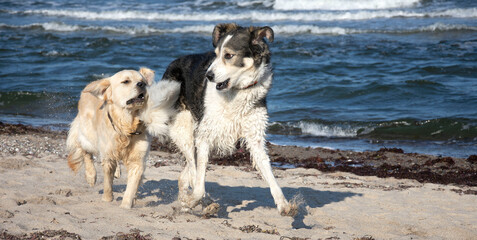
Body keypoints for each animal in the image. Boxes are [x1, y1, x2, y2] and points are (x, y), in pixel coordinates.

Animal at [65, 67, 178, 208]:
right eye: (126, 81)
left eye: (142, 81)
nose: (142, 85)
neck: (127, 126)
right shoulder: (108, 156)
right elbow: (108, 182)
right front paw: (107, 199)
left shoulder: (137, 159)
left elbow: (132, 186)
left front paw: (126, 205)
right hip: (88, 136)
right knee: (84, 150)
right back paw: (91, 176)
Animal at [165, 23, 298, 217]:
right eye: (216, 54)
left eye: (228, 55)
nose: (208, 76)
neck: (237, 91)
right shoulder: (204, 136)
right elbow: (199, 184)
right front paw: (195, 200)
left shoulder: (255, 137)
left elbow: (269, 173)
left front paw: (284, 205)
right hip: (185, 131)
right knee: (193, 168)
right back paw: (203, 203)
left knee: (185, 175)